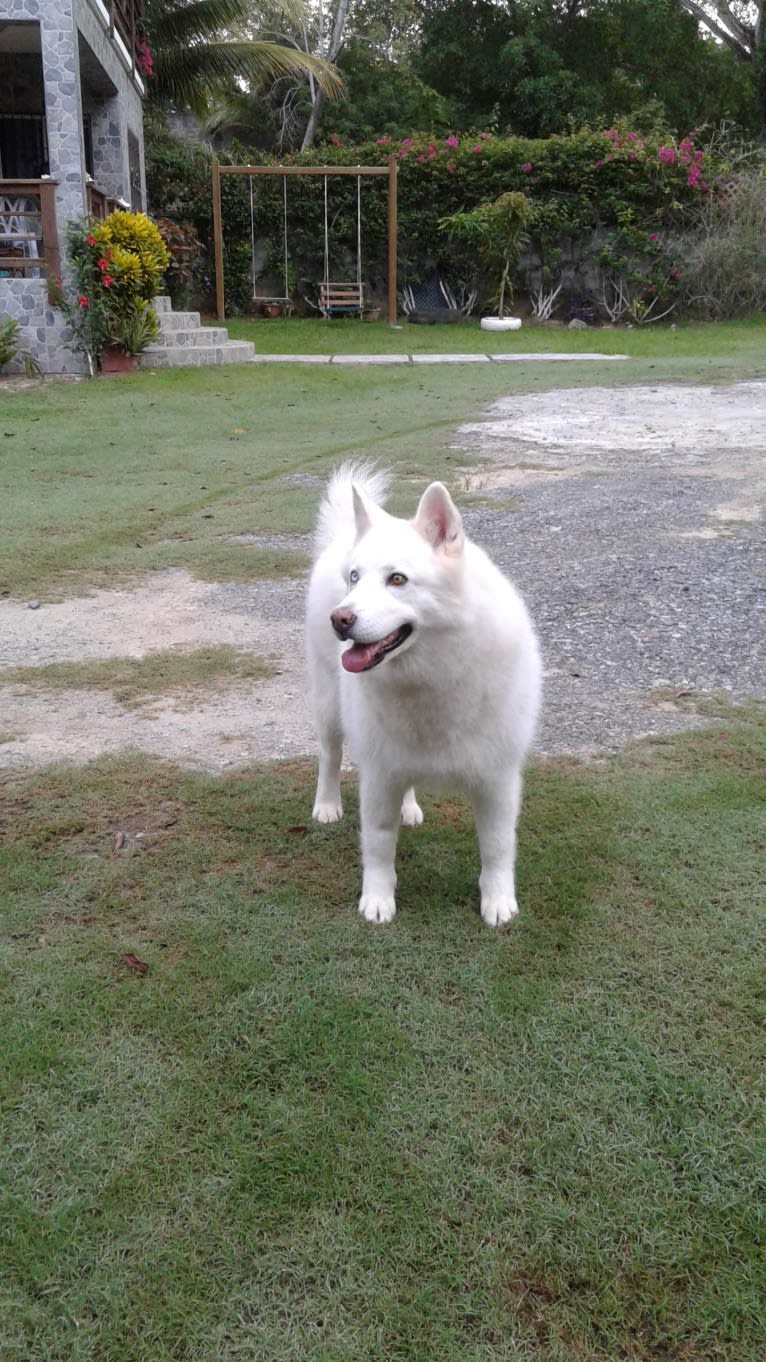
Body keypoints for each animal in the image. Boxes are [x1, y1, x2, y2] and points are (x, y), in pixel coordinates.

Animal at [305, 465, 542, 926]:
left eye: (397, 579)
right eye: (355, 578)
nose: (339, 619)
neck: (434, 675)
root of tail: (344, 535)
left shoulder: (498, 780)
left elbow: (497, 846)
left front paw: (497, 901)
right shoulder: (380, 774)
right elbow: (379, 844)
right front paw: (378, 899)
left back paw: (409, 808)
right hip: (328, 709)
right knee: (330, 757)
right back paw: (326, 805)